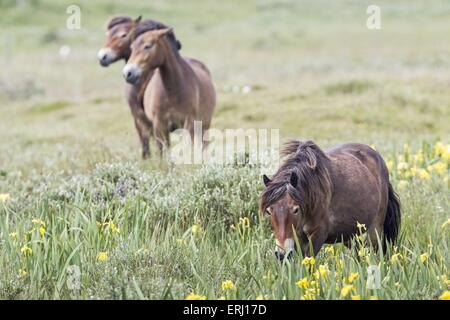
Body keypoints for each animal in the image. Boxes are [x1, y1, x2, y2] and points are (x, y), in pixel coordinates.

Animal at [122, 25, 215, 154]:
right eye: (132, 47)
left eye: (148, 46)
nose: (128, 73)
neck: (172, 91)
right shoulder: (159, 124)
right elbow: (163, 151)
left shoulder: (189, 121)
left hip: (204, 124)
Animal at [260, 141, 400, 260]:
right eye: (269, 211)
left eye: (295, 209)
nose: (281, 254)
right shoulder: (299, 238)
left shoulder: (318, 234)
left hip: (375, 229)